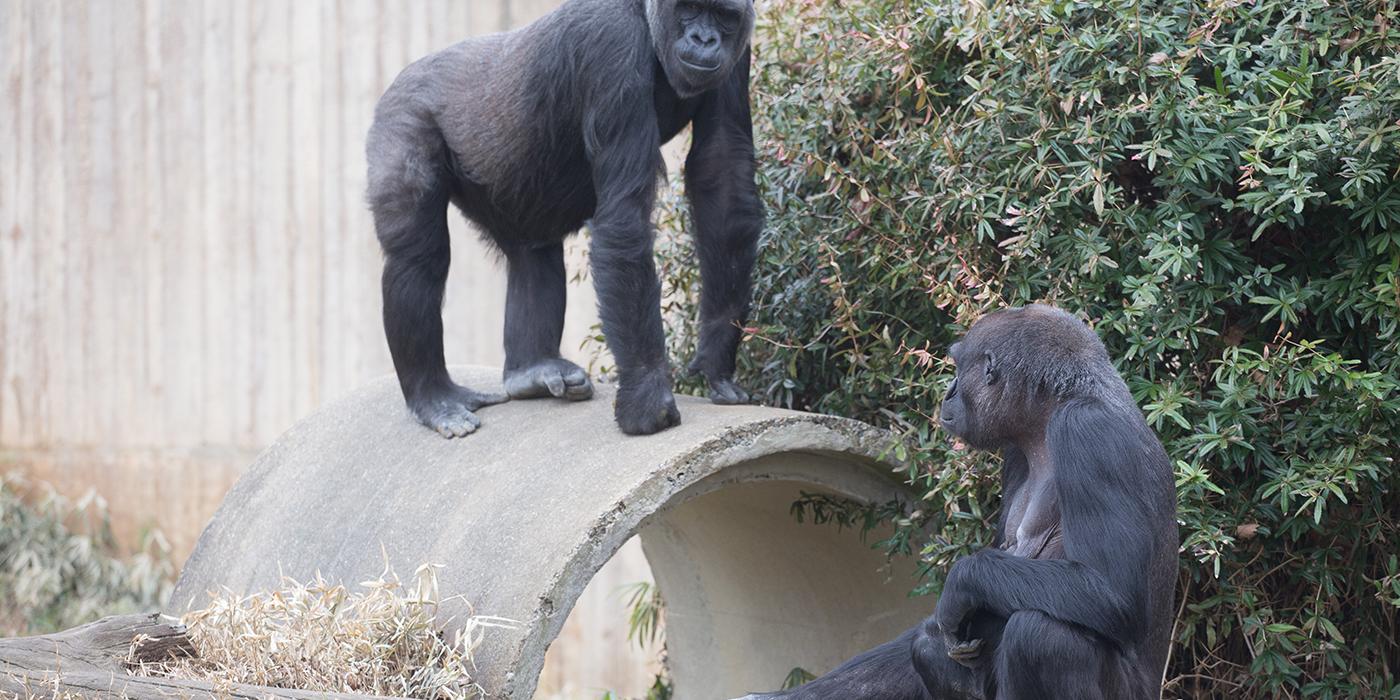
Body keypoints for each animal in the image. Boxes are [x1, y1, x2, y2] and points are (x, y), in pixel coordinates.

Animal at [361, 0, 756, 436]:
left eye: (724, 17)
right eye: (689, 9)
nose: (704, 38)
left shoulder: (738, 55)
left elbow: (722, 180)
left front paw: (717, 357)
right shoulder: (611, 46)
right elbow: (625, 218)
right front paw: (647, 397)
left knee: (533, 255)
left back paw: (530, 370)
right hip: (402, 115)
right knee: (418, 259)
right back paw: (432, 395)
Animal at [744, 306, 1181, 700]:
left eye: (958, 368)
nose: (948, 392)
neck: (1051, 411)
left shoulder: (1087, 432)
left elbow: (1111, 590)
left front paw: (960, 582)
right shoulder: (1015, 453)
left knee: (1042, 635)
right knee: (928, 644)